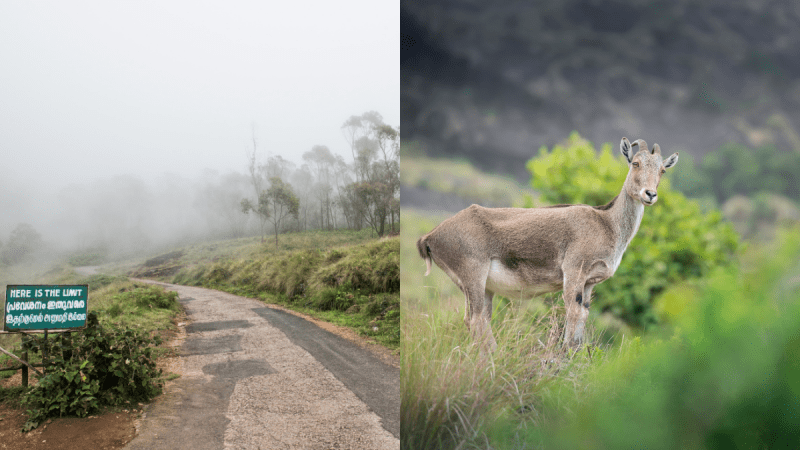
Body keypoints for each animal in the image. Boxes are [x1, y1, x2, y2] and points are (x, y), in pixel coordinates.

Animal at [416, 137, 680, 352]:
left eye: (662, 170)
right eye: (635, 163)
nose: (650, 194)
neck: (607, 223)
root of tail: (430, 237)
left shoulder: (589, 283)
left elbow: (582, 317)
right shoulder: (574, 270)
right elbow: (572, 313)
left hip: (481, 286)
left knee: (476, 320)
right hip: (472, 274)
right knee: (477, 320)